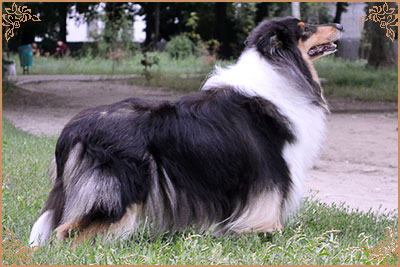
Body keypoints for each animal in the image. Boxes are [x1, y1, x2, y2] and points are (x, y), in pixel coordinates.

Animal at [30, 16, 344, 247]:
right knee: (67, 231)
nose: (340, 26)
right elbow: (270, 203)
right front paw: (270, 234)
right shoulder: (270, 169)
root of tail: (72, 129)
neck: (280, 68)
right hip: (118, 189)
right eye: (305, 28)